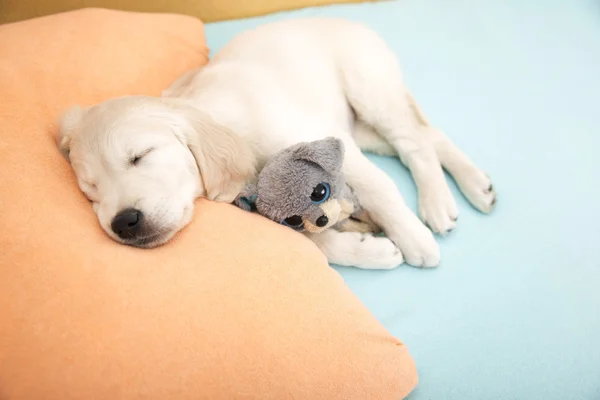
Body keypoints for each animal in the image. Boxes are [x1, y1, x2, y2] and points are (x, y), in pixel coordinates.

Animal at [57, 18, 496, 268]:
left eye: (140, 156)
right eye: (91, 192)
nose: (123, 222)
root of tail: (347, 18)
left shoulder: (329, 141)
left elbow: (381, 189)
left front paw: (412, 240)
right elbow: (316, 243)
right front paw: (367, 248)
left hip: (369, 90)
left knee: (413, 142)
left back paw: (435, 205)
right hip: (362, 127)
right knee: (427, 134)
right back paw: (476, 186)